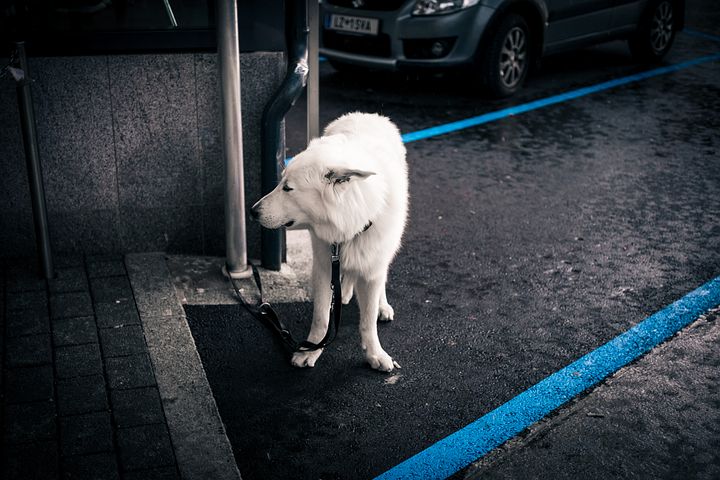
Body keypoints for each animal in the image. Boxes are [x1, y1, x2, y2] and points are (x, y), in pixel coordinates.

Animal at [252, 111, 410, 372]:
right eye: (280, 183)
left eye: (288, 188)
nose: (252, 212)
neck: (352, 222)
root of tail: (367, 114)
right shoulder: (325, 265)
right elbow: (321, 318)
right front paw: (311, 350)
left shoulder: (371, 264)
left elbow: (368, 322)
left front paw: (375, 354)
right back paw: (344, 293)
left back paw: (381, 305)